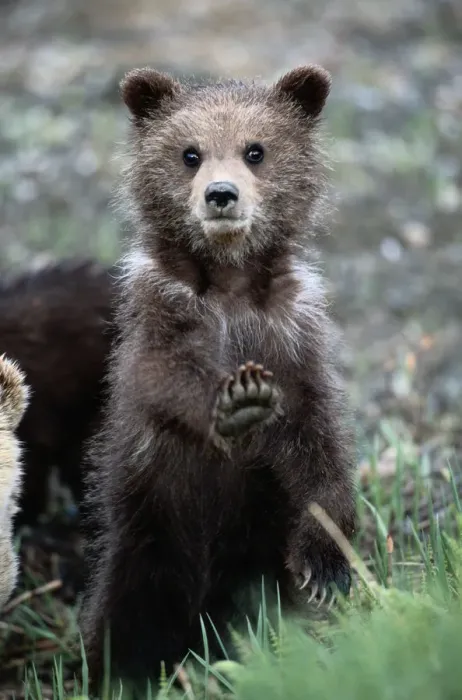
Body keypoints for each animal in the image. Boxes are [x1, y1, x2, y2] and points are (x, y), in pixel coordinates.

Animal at [80, 64, 358, 692]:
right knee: (128, 617)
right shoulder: (162, 317)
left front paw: (327, 564)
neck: (229, 287)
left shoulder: (293, 336)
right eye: (190, 153)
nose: (221, 194)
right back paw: (124, 674)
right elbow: (168, 378)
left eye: (256, 150)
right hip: (146, 534)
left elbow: (318, 441)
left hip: (253, 557)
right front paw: (238, 399)